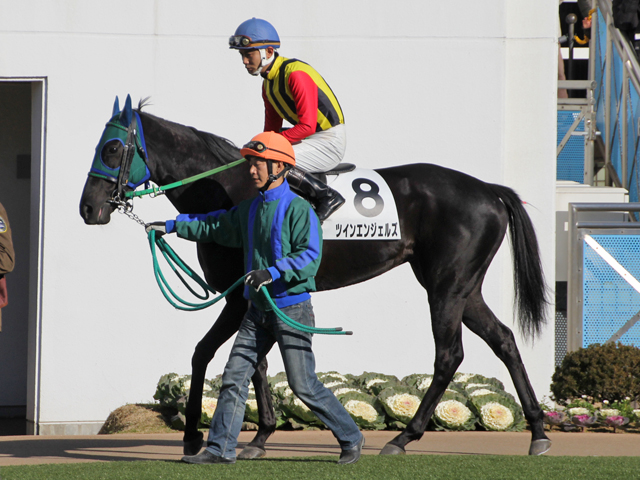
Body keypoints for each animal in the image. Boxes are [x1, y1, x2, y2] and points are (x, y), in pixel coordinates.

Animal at [79, 96, 552, 458]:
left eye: (113, 148)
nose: (88, 208)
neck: (229, 188)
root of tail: (489, 190)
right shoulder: (255, 297)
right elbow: (257, 362)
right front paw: (261, 436)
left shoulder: (238, 297)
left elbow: (204, 354)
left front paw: (195, 437)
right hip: (463, 287)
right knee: (504, 339)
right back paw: (537, 431)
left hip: (445, 286)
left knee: (449, 355)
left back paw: (403, 436)